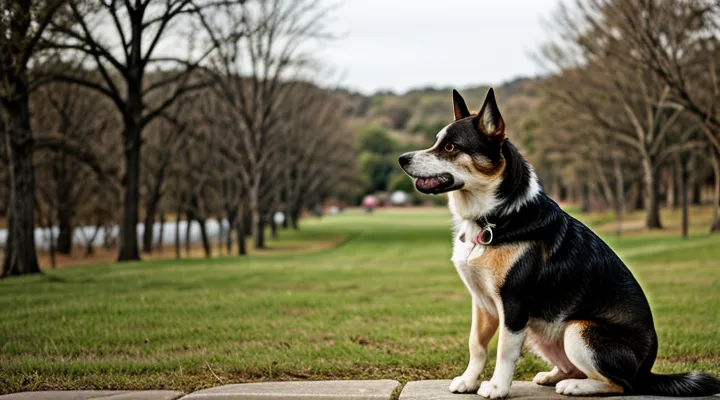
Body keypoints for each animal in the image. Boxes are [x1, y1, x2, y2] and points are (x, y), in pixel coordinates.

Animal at [396, 89, 720, 398]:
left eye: (451, 147)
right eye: (437, 142)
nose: (402, 159)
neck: (495, 216)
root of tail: (647, 372)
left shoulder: (513, 305)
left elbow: (504, 351)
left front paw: (497, 388)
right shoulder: (482, 303)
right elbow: (476, 344)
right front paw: (468, 381)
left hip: (578, 329)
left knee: (621, 384)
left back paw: (576, 387)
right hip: (542, 329)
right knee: (575, 367)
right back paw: (555, 376)